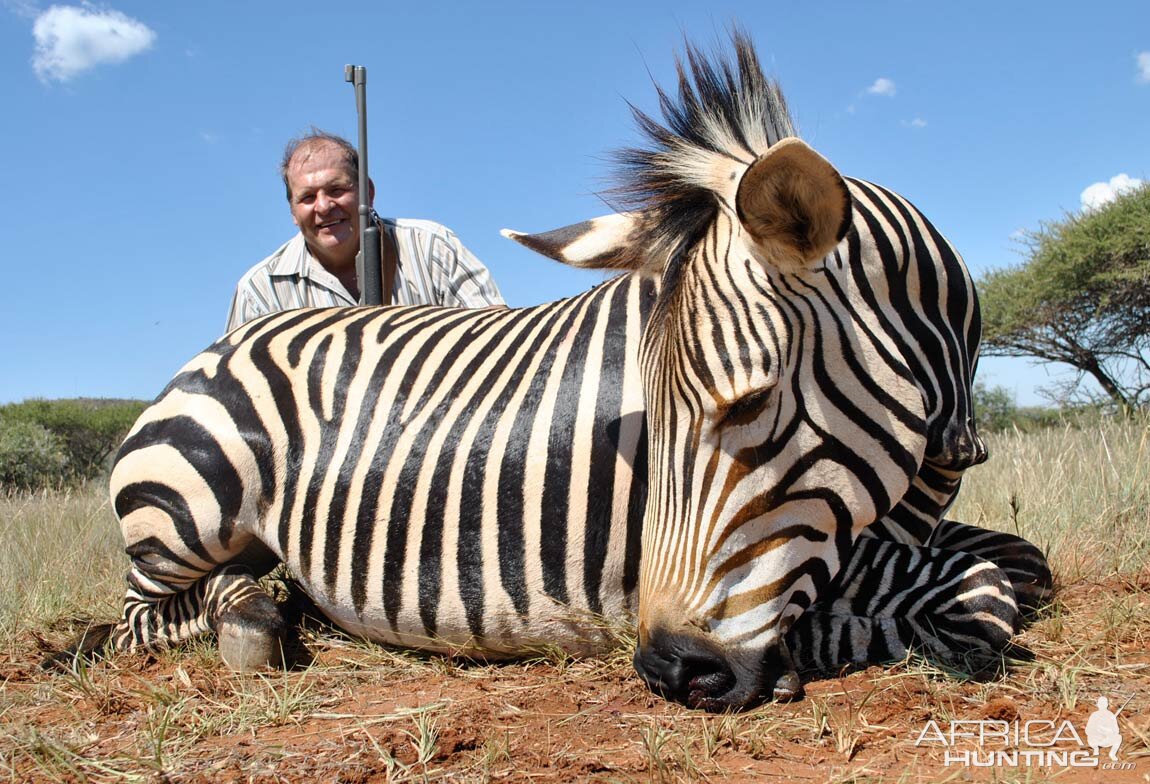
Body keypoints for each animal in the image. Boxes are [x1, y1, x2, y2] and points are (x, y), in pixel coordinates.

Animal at [49, 32, 1048, 708]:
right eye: (654, 419)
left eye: (753, 403)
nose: (669, 669)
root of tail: (218, 346)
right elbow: (983, 592)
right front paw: (830, 641)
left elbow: (1019, 561)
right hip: (185, 509)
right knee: (148, 615)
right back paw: (252, 621)